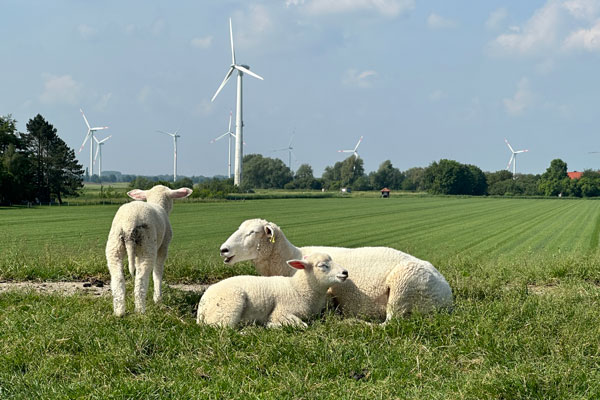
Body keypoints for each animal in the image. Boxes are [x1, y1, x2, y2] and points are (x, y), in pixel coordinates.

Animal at [105, 184, 192, 316]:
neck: (158, 203)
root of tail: (129, 224)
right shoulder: (163, 246)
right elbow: (158, 272)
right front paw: (158, 298)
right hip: (147, 245)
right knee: (141, 279)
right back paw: (140, 311)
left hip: (114, 245)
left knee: (117, 278)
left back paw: (119, 312)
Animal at [197, 253, 346, 328]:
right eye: (322, 265)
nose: (345, 272)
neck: (298, 288)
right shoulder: (281, 312)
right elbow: (303, 325)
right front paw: (270, 325)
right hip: (229, 305)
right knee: (223, 328)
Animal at [220, 217, 454, 324]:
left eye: (252, 232)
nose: (223, 250)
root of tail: (446, 295)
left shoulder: (331, 294)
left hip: (403, 285)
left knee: (390, 322)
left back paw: (354, 322)